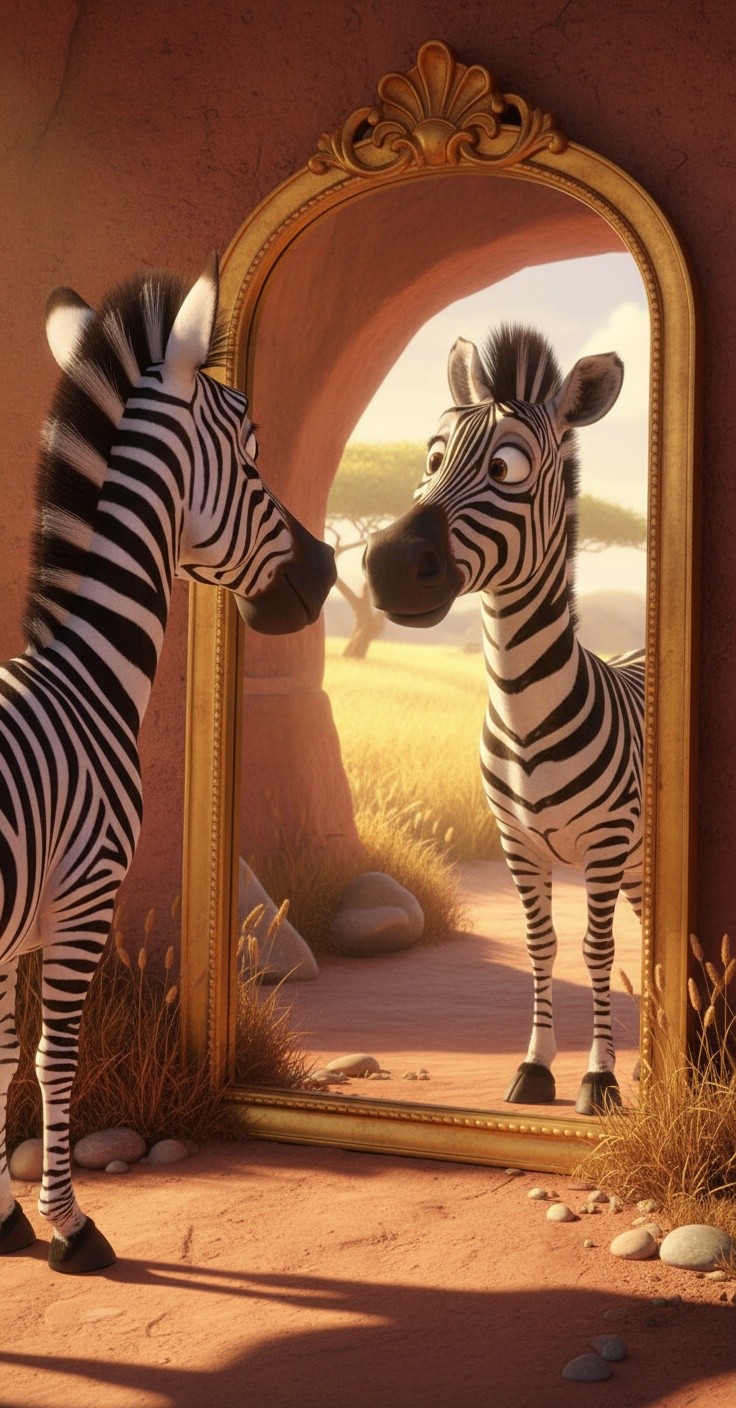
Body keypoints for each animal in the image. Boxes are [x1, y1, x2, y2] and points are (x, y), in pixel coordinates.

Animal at [0, 253, 336, 1274]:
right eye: (254, 452)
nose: (327, 569)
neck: (81, 677)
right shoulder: (81, 897)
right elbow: (50, 1059)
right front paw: (70, 1228)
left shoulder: (21, 924)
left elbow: (2, 1057)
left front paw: (5, 1218)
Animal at [365, 324, 644, 1117]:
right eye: (432, 457)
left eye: (506, 466)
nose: (388, 565)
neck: (524, 717)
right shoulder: (518, 843)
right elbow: (541, 947)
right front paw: (536, 1068)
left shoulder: (604, 843)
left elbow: (598, 952)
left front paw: (599, 1080)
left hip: (634, 853)